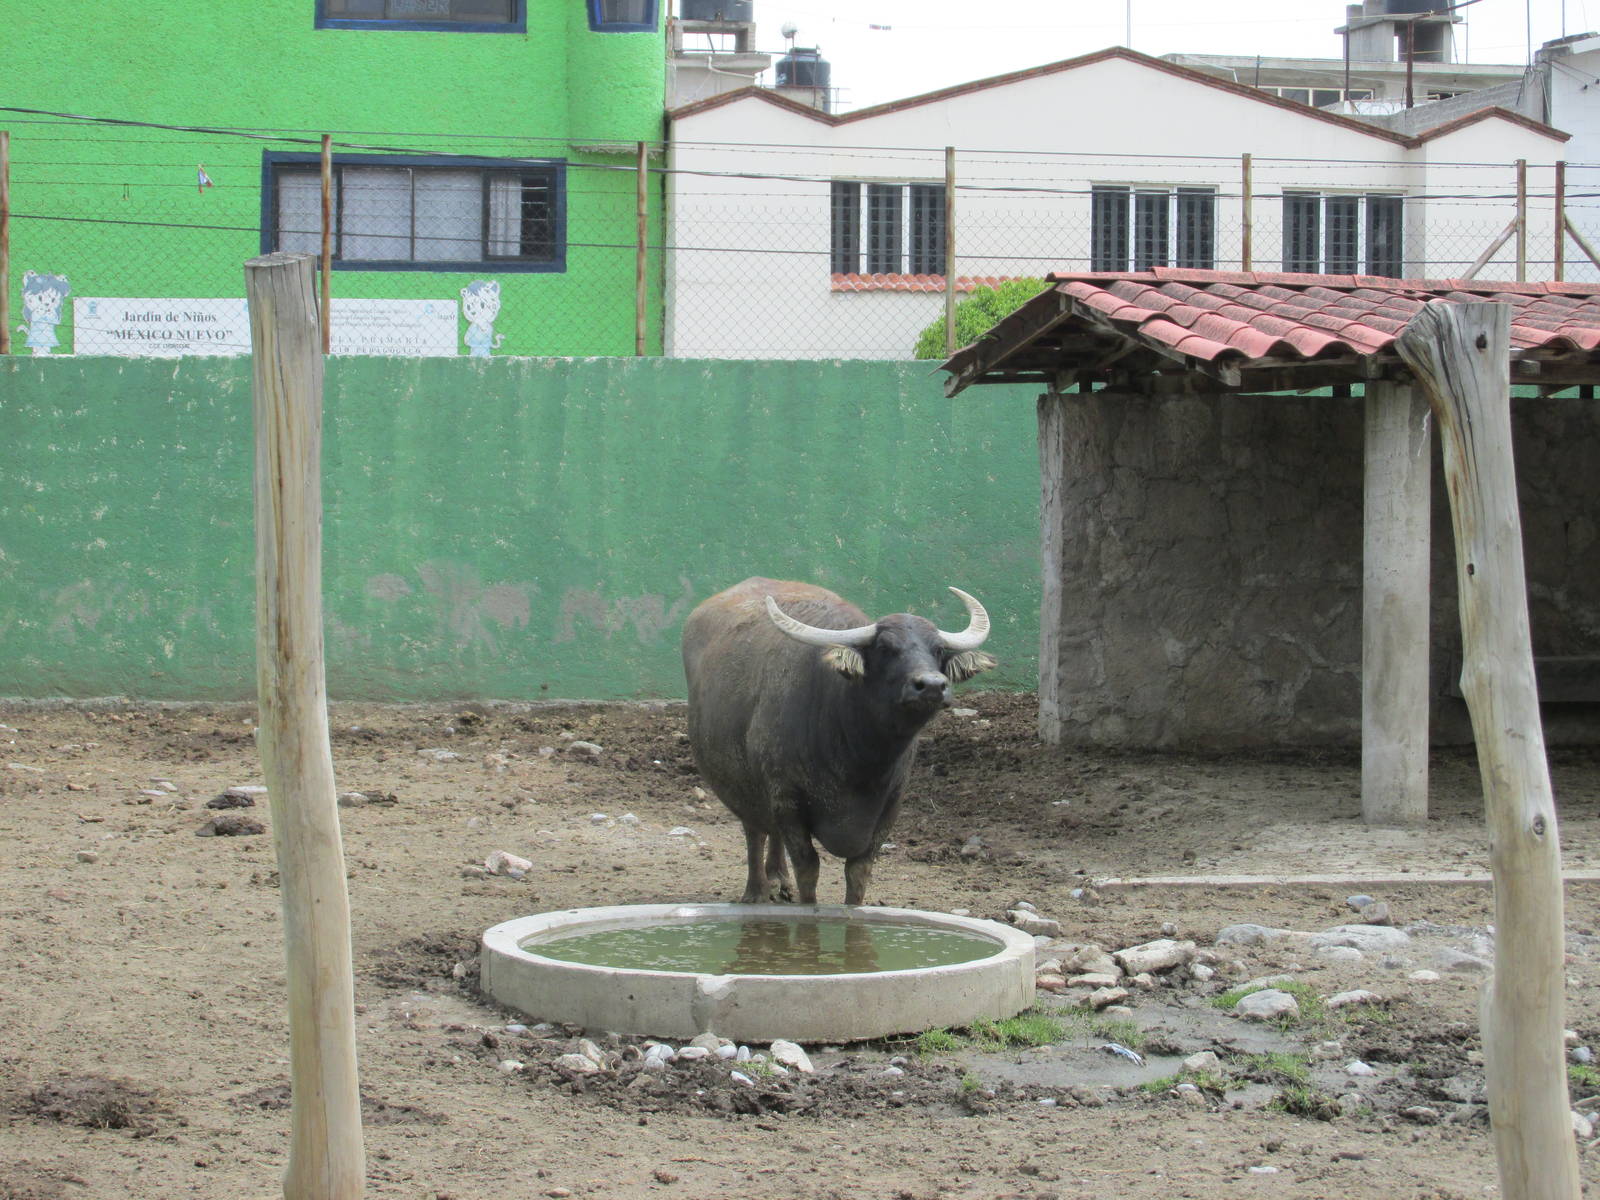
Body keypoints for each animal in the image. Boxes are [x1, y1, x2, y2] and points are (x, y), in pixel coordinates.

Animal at [682, 577, 995, 906]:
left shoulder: (889, 806)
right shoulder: (786, 800)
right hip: (742, 785)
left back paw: (778, 878)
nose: (932, 685)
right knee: (754, 831)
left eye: (937, 649)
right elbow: (808, 868)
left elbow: (858, 871)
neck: (859, 760)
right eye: (885, 648)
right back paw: (757, 891)